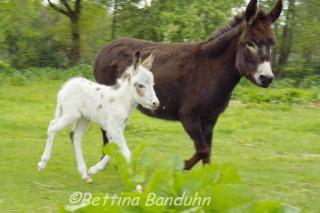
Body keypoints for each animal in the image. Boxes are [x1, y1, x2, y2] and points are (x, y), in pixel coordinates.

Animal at [37, 51, 159, 181]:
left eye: (153, 84)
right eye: (140, 85)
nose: (156, 103)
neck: (121, 101)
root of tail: (64, 89)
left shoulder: (116, 129)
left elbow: (114, 149)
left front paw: (95, 169)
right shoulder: (113, 128)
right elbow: (125, 152)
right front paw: (133, 180)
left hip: (84, 118)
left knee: (75, 137)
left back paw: (84, 174)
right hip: (72, 115)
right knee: (52, 127)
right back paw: (42, 164)